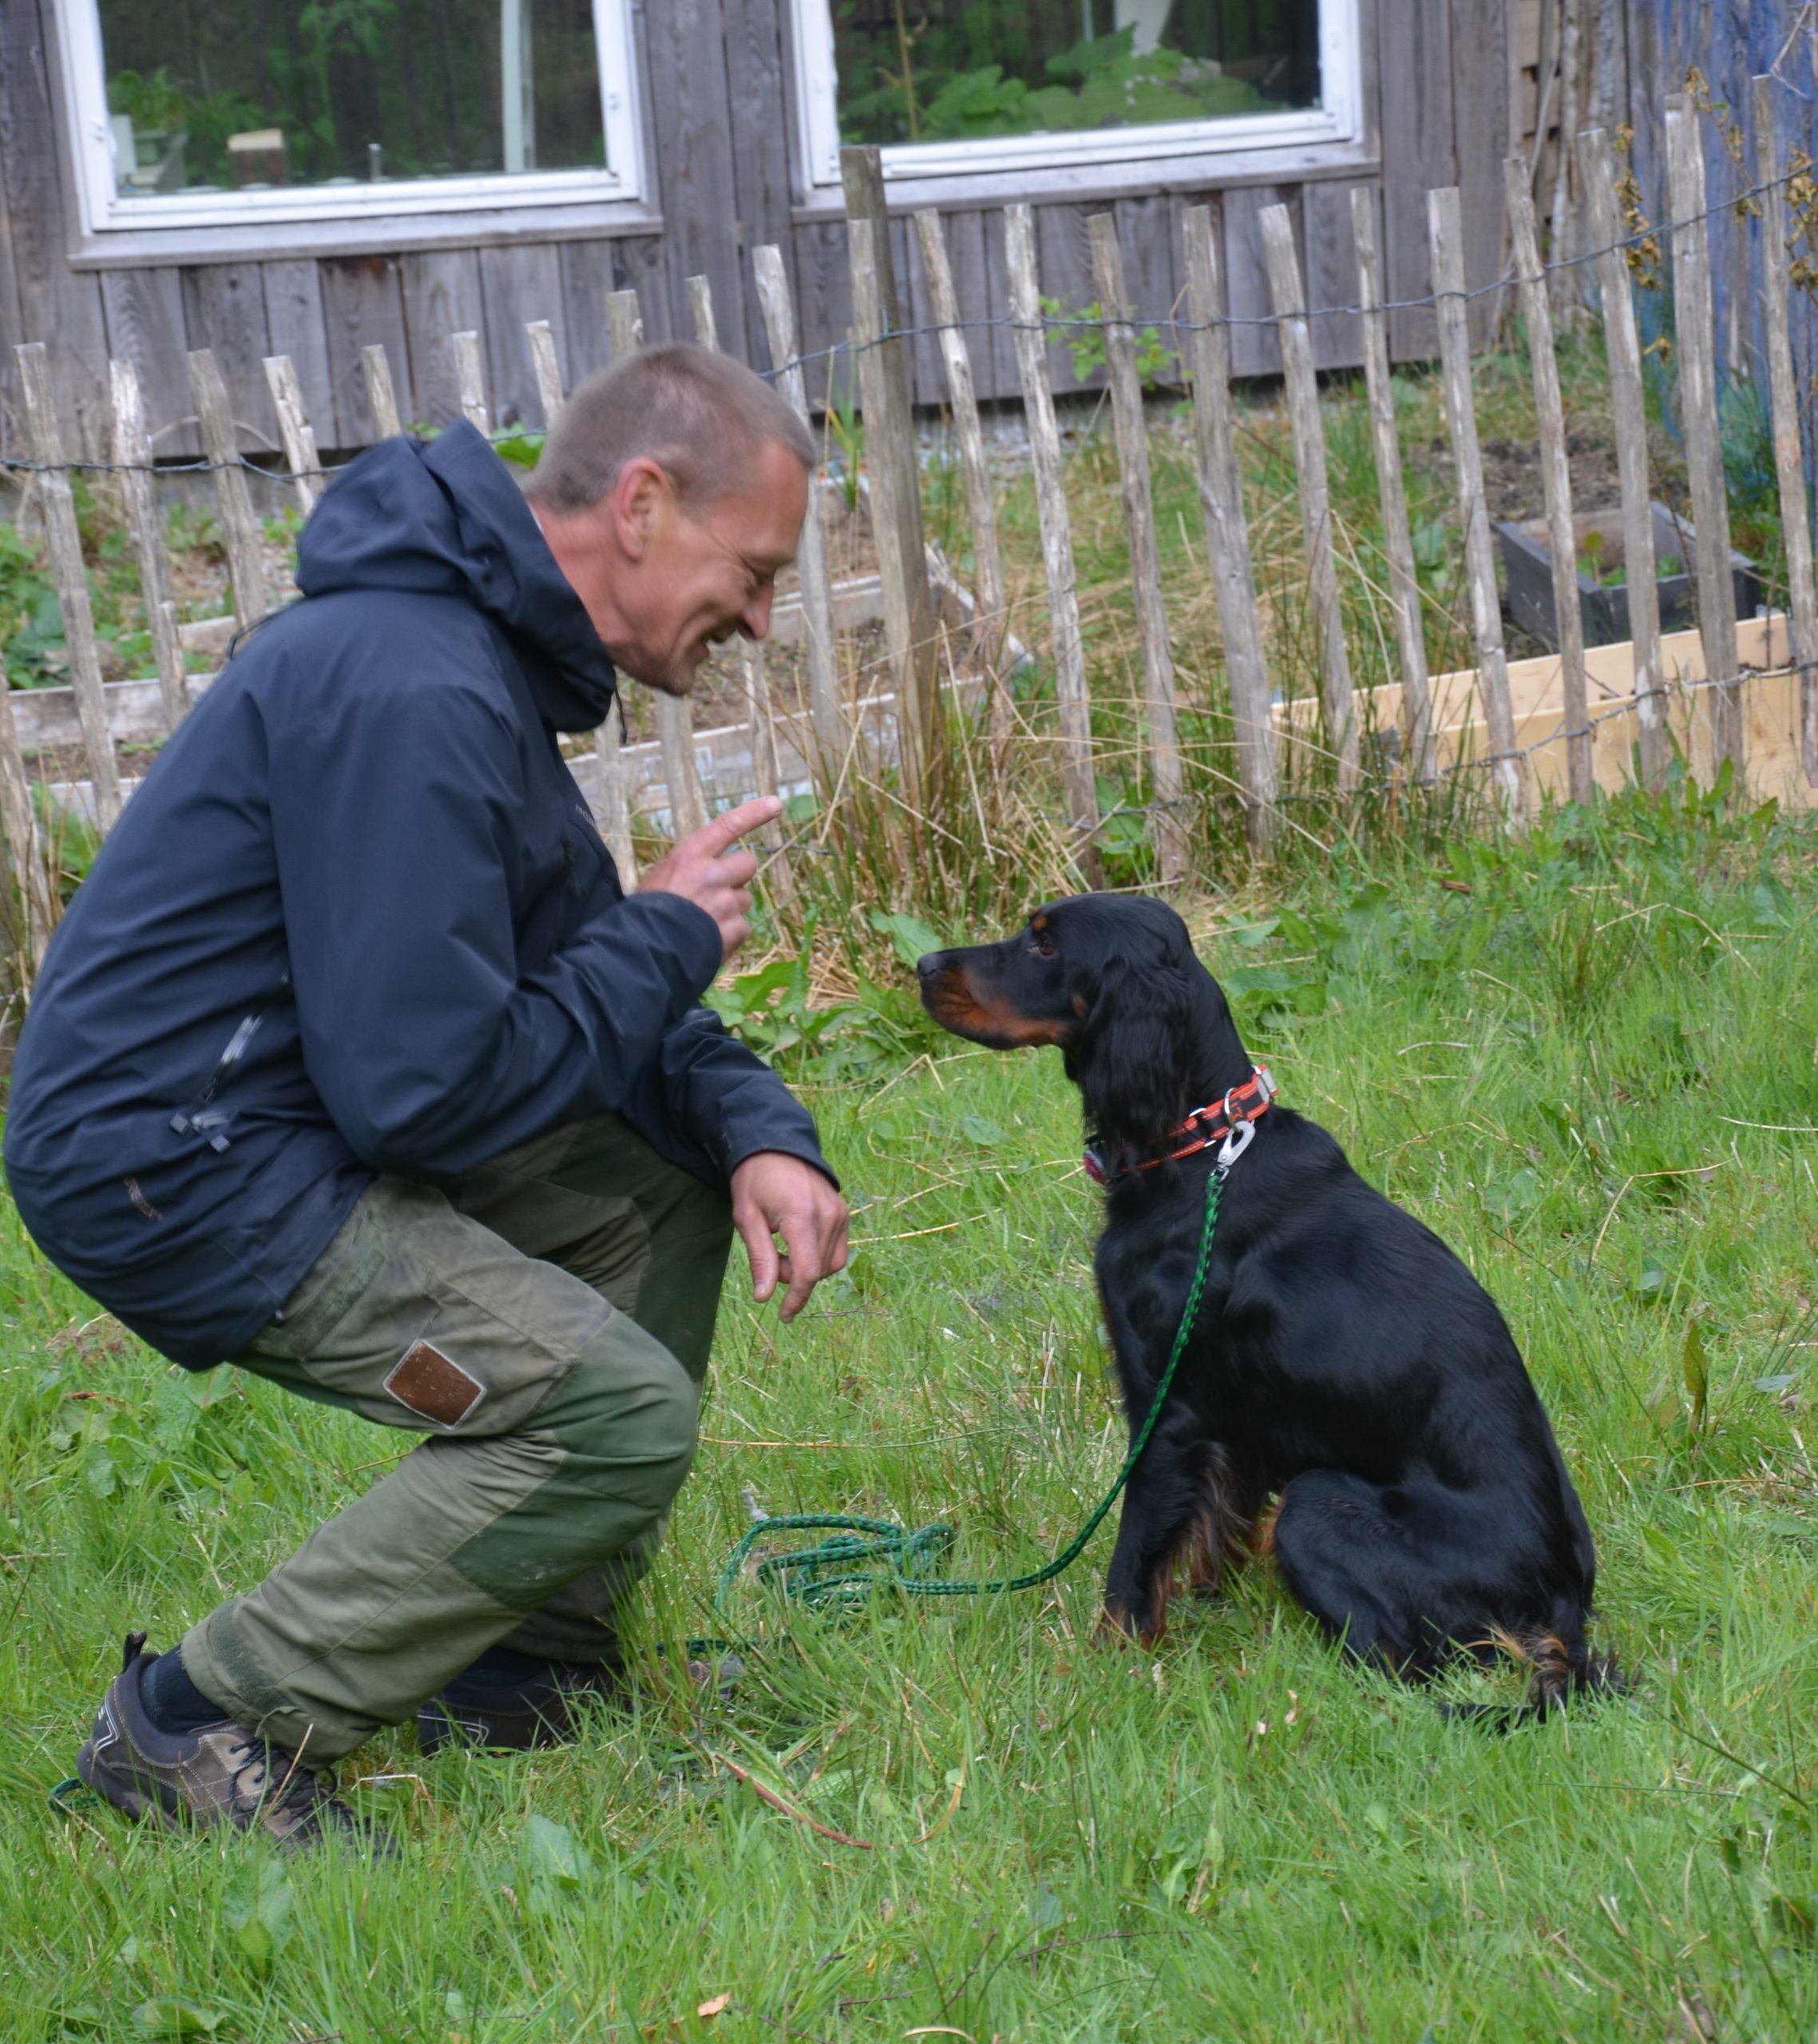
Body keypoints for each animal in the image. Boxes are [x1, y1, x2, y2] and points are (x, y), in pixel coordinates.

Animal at [916, 895, 1611, 1709]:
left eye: (1045, 945)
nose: (922, 965)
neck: (1198, 1148)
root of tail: (1562, 1605)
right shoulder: (1234, 1426)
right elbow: (1212, 1531)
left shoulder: (1168, 1413)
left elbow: (1132, 1563)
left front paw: (1106, 1667)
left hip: (1315, 1507)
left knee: (1405, 1662)